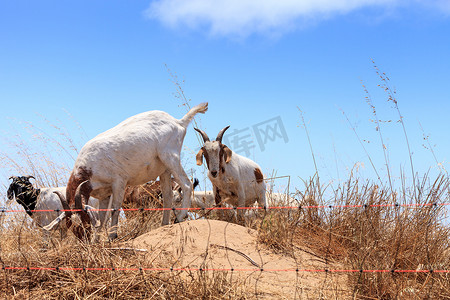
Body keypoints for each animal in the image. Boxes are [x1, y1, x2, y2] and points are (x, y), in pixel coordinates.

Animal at [45, 102, 207, 240]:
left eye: (84, 221)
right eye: (71, 225)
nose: (84, 240)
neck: (89, 166)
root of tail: (179, 122)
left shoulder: (119, 182)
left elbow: (115, 209)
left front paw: (112, 236)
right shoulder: (104, 194)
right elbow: (102, 218)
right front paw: (96, 241)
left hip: (170, 158)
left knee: (187, 184)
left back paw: (179, 218)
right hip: (164, 170)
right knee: (168, 196)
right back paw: (164, 225)